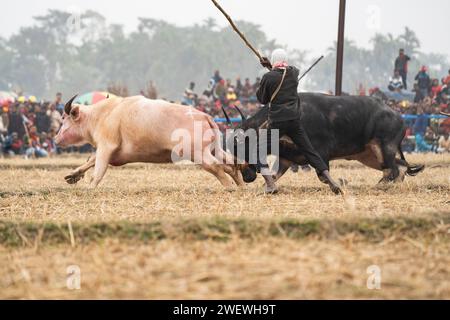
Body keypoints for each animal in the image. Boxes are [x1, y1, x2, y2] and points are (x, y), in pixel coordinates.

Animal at [227, 92, 424, 185]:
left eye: (243, 145)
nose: (246, 176)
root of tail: (398, 117)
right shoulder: (286, 159)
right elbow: (274, 177)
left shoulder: (320, 153)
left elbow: (323, 176)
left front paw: (342, 183)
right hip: (369, 155)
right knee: (399, 167)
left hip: (384, 147)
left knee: (393, 170)